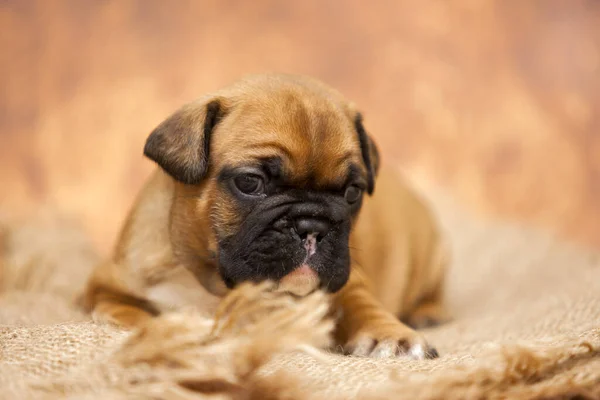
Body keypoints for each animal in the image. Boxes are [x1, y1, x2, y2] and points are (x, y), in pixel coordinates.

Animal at [84, 72, 450, 360]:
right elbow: (137, 317)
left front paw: (392, 336)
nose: (312, 226)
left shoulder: (350, 282)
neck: (214, 283)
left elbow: (360, 305)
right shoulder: (107, 289)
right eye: (250, 182)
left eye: (352, 192)